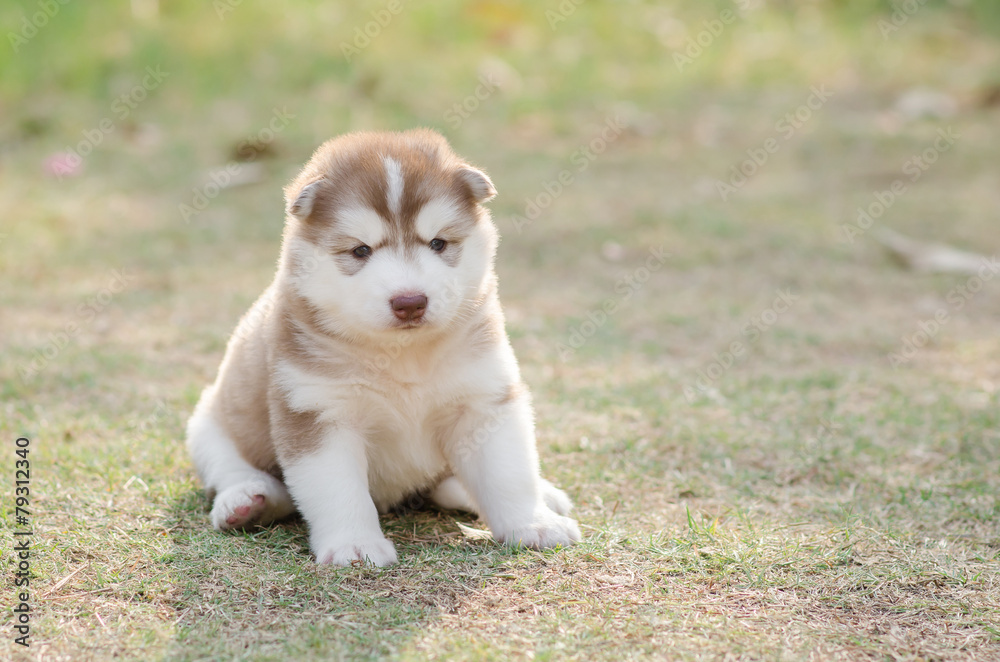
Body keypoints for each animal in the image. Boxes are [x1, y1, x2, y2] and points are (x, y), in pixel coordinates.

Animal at [185, 131, 584, 572]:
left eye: (438, 243)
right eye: (361, 250)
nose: (410, 302)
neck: (402, 357)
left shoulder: (484, 399)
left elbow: (508, 473)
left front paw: (533, 524)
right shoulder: (318, 413)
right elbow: (338, 489)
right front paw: (355, 544)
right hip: (209, 423)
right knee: (232, 467)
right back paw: (248, 501)